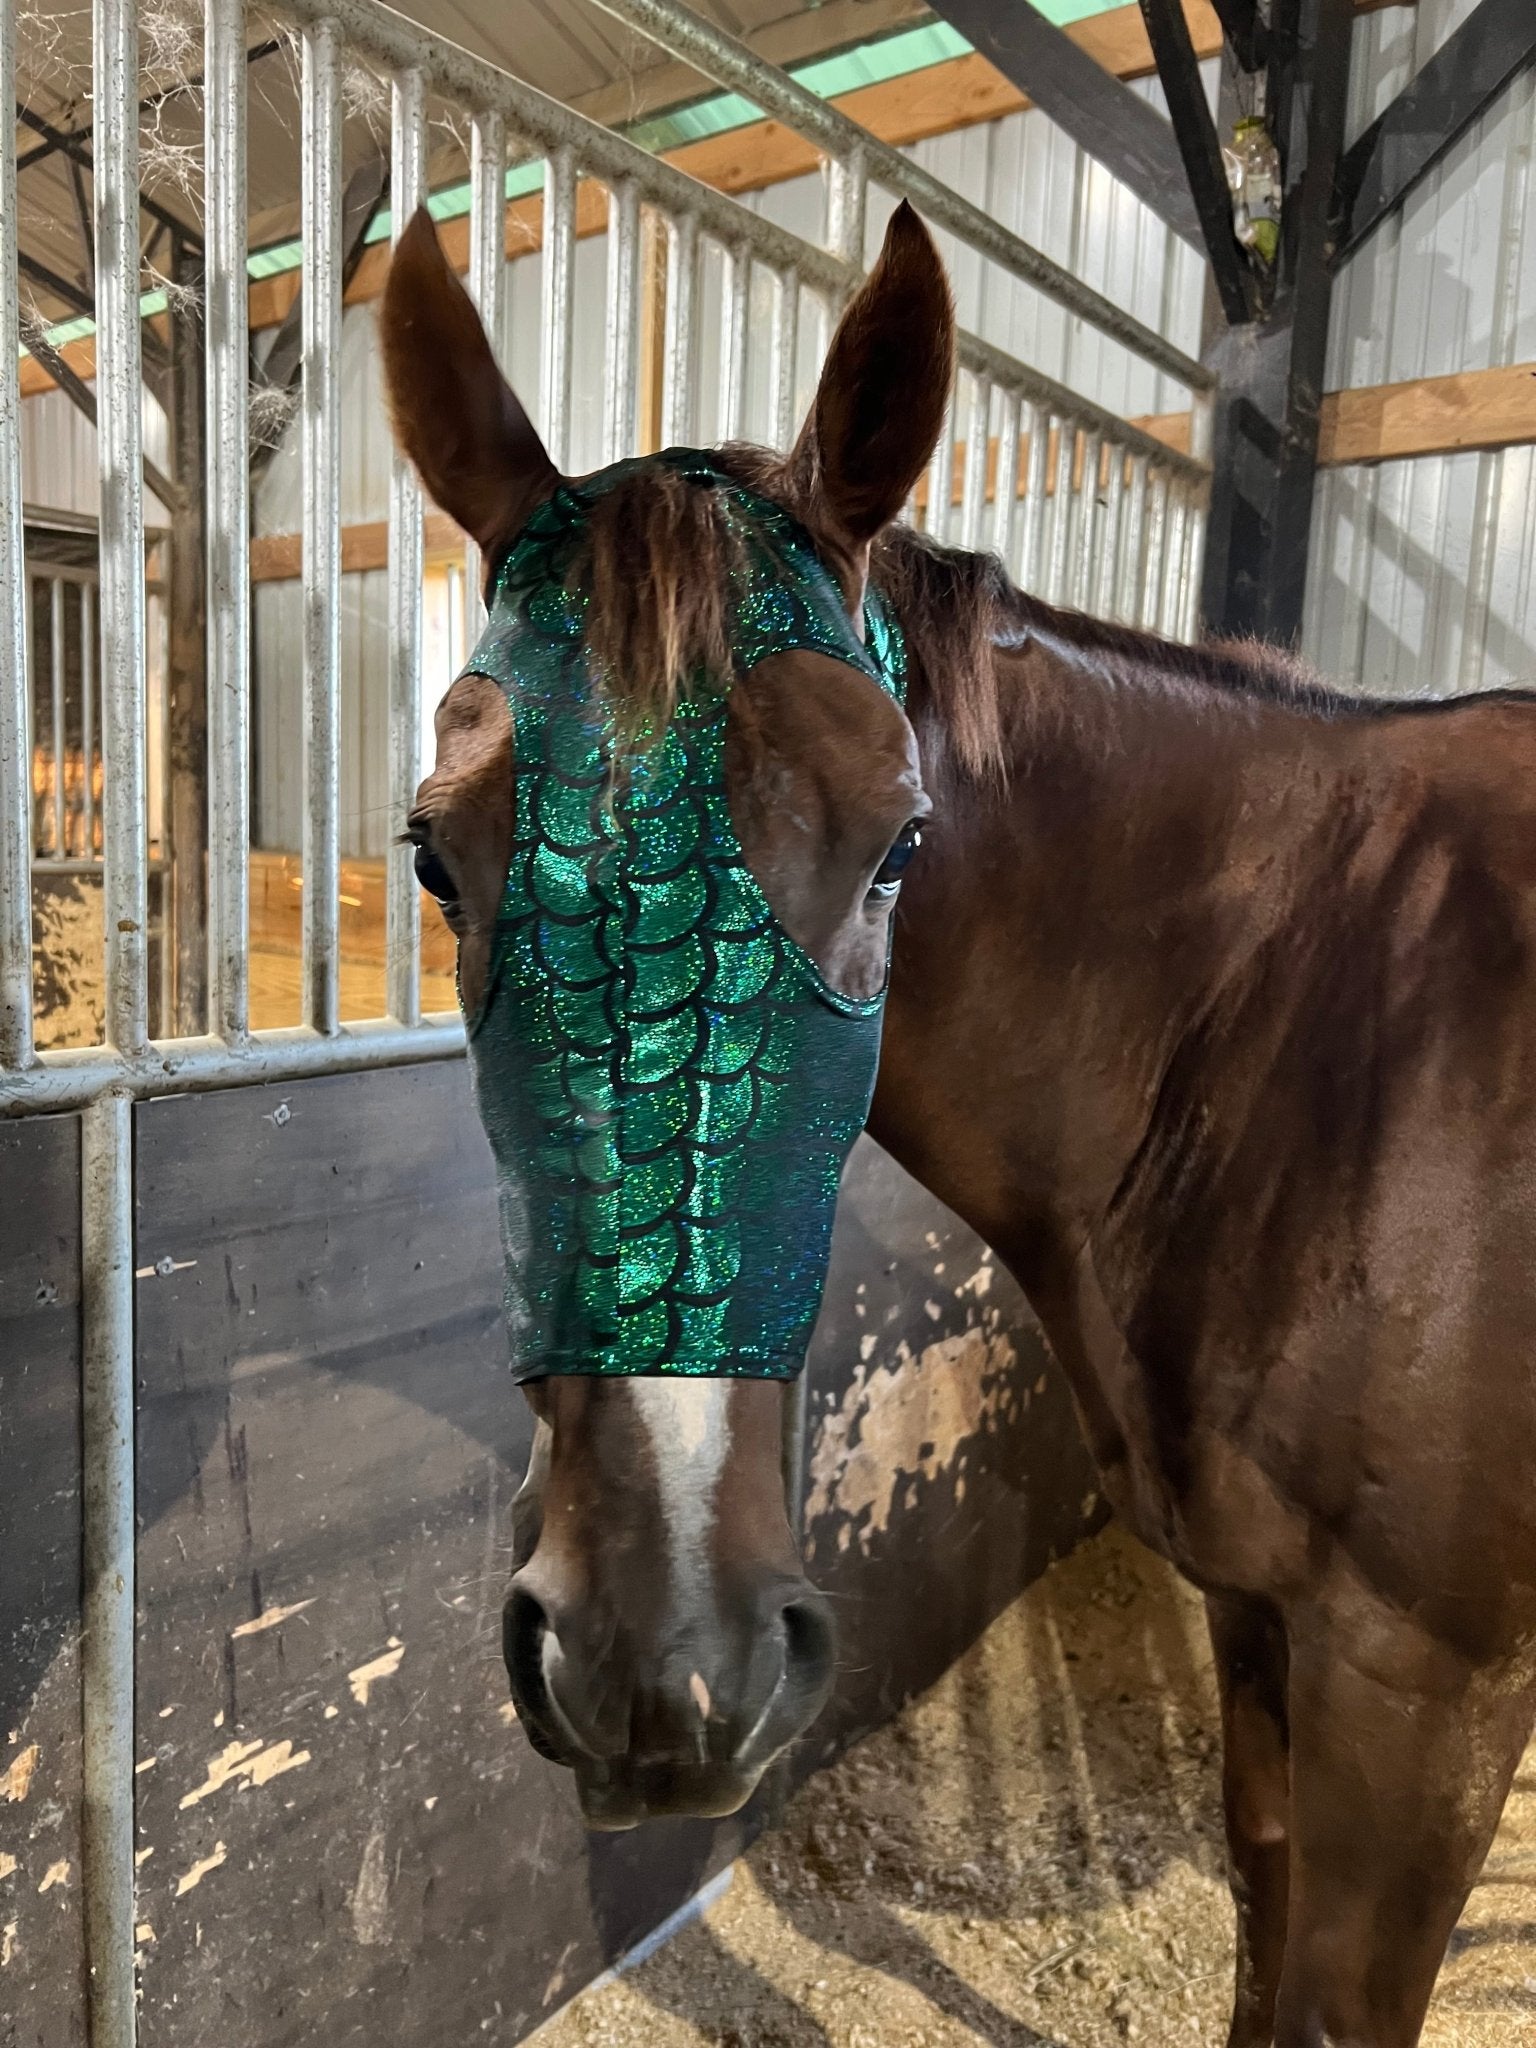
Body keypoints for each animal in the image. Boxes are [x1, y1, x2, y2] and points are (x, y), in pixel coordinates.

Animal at [381, 200, 1536, 2047]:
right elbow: (1265, 1922)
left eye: (899, 848)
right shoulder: (1265, 1628)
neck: (1328, 1025)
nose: (659, 1667)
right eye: (435, 855)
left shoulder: (1423, 1690)